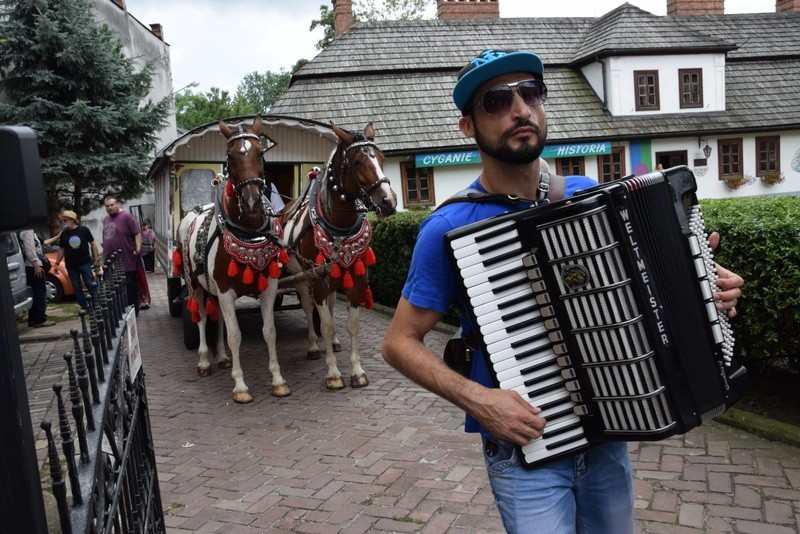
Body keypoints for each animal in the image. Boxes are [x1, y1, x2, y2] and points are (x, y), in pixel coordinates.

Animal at [175, 116, 290, 402]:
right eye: (230, 156)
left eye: (260, 153)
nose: (251, 201)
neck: (246, 232)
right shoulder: (226, 290)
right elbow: (236, 334)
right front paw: (240, 386)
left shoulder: (268, 288)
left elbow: (268, 332)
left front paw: (278, 380)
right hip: (196, 285)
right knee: (202, 317)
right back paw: (205, 360)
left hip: (213, 288)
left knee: (218, 322)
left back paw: (223, 357)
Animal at [282, 123, 400, 392]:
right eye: (357, 162)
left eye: (381, 157)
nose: (389, 201)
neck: (339, 228)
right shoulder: (317, 280)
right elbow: (325, 325)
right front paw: (334, 374)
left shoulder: (355, 279)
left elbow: (351, 325)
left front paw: (357, 372)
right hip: (300, 277)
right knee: (308, 306)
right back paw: (313, 346)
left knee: (332, 304)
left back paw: (334, 343)